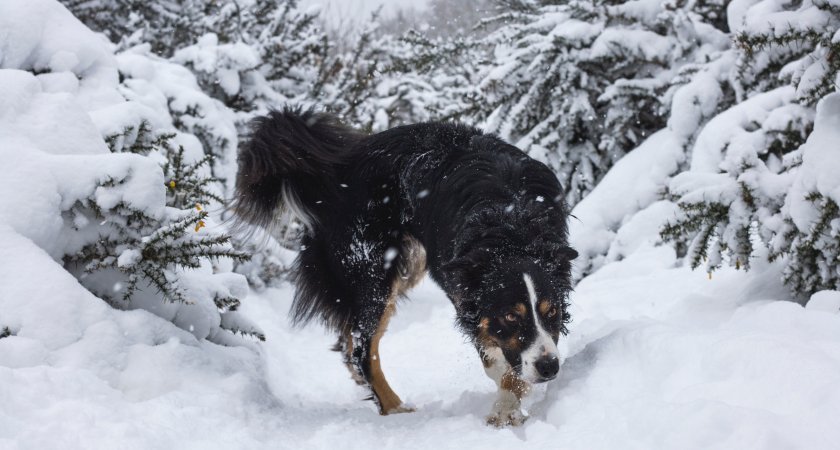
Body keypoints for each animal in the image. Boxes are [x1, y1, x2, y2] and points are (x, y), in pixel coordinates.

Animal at [235, 107, 576, 428]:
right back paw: (394, 408)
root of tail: (331, 169)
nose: (550, 367)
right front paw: (506, 407)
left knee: (349, 338)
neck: (510, 226)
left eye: (552, 311)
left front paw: (508, 399)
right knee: (362, 348)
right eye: (510, 316)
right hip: (371, 270)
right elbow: (497, 354)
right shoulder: (466, 290)